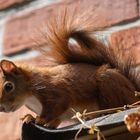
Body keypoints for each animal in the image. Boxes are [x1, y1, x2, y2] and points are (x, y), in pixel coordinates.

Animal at [0, 5, 139, 128]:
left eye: (8, 86)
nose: (1, 108)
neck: (29, 94)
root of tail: (135, 92)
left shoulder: (54, 91)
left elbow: (57, 105)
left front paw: (40, 119)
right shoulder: (57, 115)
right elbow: (54, 121)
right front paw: (29, 117)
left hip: (108, 83)